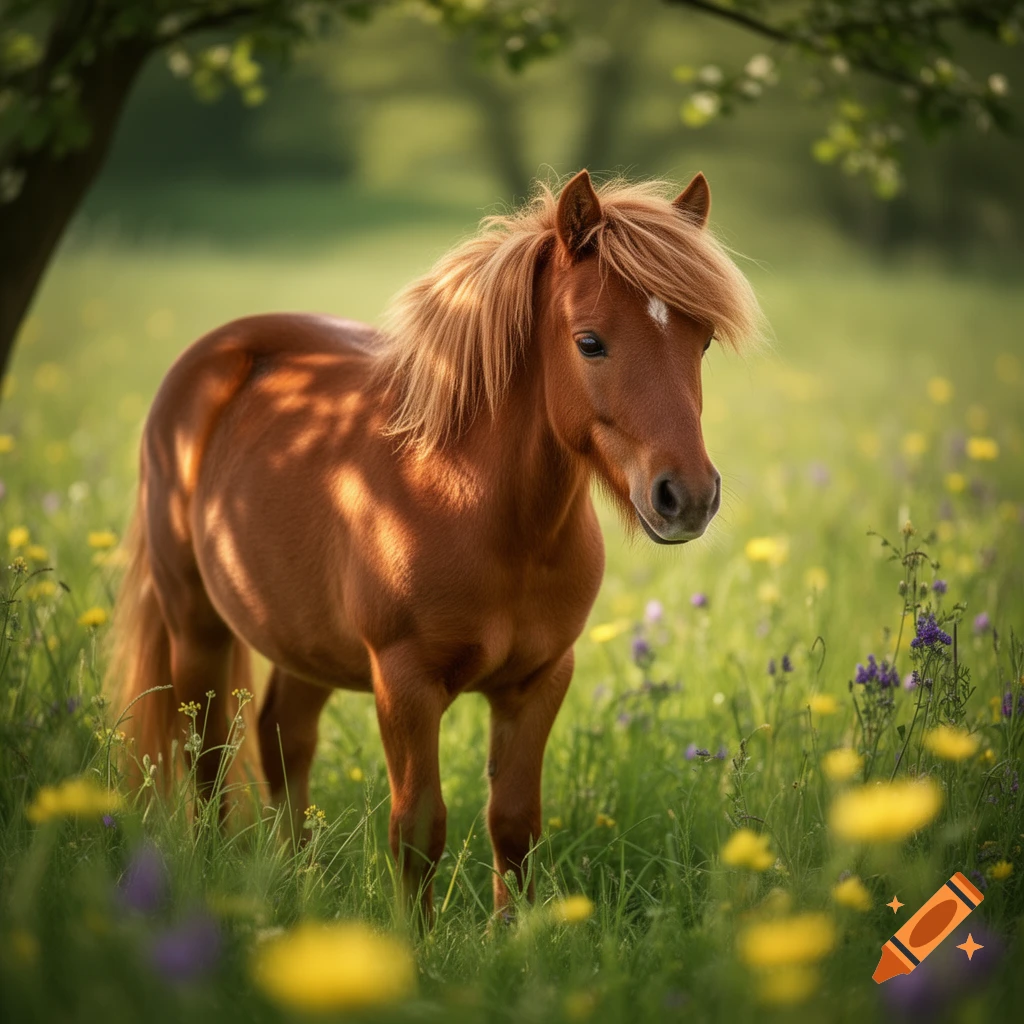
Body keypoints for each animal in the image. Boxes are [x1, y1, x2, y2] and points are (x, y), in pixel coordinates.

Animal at [108, 169, 761, 918]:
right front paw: (416, 939)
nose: (688, 496)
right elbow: (419, 828)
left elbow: (514, 824)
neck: (480, 511)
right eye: (591, 342)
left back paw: (298, 879)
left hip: (303, 642)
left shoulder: (539, 681)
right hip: (197, 628)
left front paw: (516, 933)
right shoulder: (405, 685)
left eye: (701, 342)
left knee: (283, 739)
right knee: (208, 757)